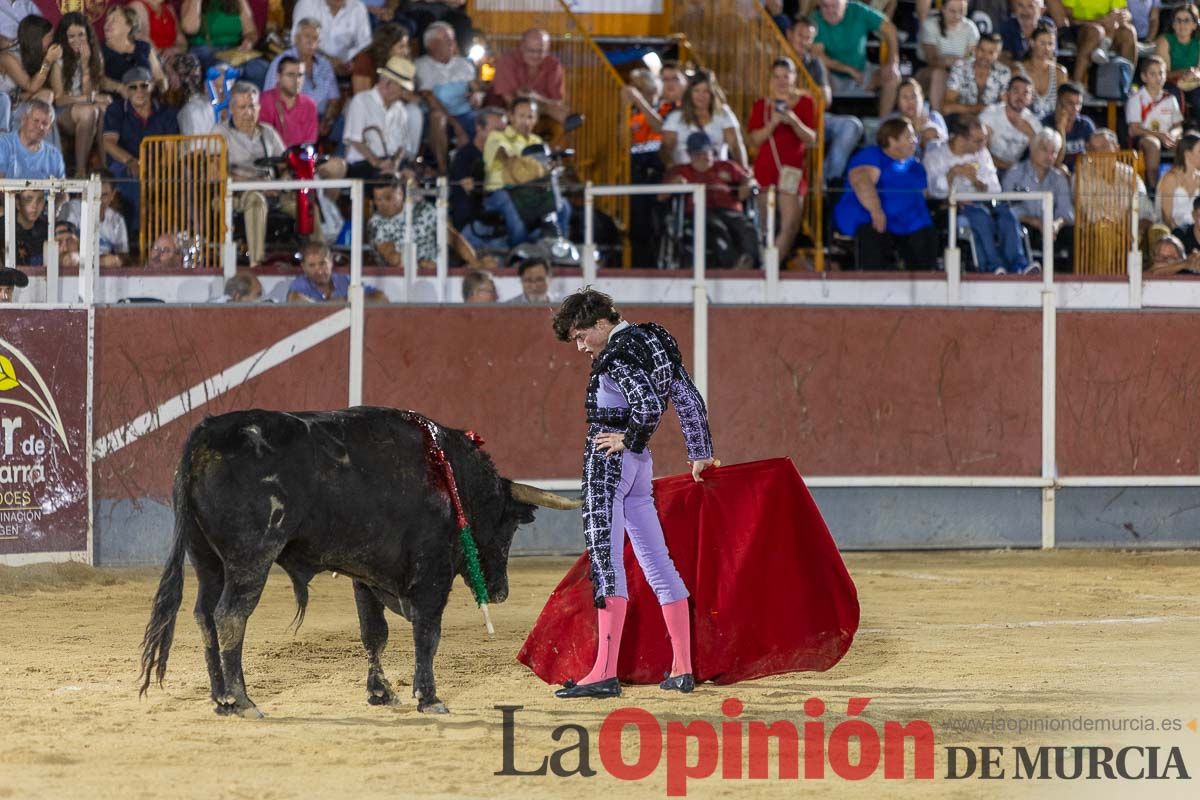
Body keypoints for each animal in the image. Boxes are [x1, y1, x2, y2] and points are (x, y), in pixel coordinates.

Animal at [138, 410, 578, 714]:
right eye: (508, 525)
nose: (501, 591)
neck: (449, 475)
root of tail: (209, 432)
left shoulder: (366, 573)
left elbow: (374, 633)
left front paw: (380, 693)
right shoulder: (431, 574)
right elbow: (427, 632)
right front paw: (429, 697)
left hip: (207, 560)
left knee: (205, 615)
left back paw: (221, 699)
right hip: (251, 557)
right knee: (230, 616)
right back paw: (243, 701)